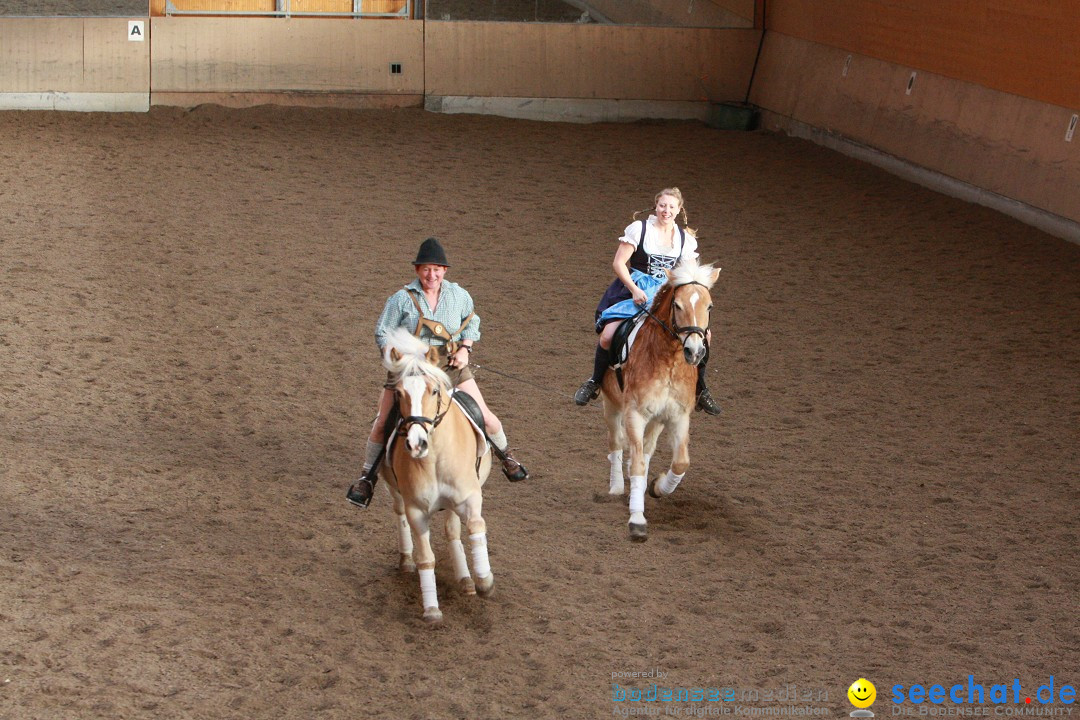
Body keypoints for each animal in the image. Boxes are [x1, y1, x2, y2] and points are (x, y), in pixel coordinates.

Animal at [382, 328, 494, 626]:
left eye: (433, 390)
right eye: (399, 393)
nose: (416, 443)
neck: (434, 461)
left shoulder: (469, 496)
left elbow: (475, 526)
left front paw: (484, 580)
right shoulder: (416, 510)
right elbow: (426, 558)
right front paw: (431, 609)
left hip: (453, 503)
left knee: (453, 530)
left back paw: (466, 579)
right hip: (395, 492)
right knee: (400, 514)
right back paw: (406, 560)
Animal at [604, 257, 721, 539]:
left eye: (709, 306)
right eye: (677, 305)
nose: (695, 351)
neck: (668, 362)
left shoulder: (677, 416)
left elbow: (680, 462)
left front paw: (657, 487)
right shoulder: (634, 413)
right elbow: (635, 462)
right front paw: (637, 519)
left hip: (657, 420)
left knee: (647, 449)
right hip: (611, 405)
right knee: (616, 444)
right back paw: (616, 487)